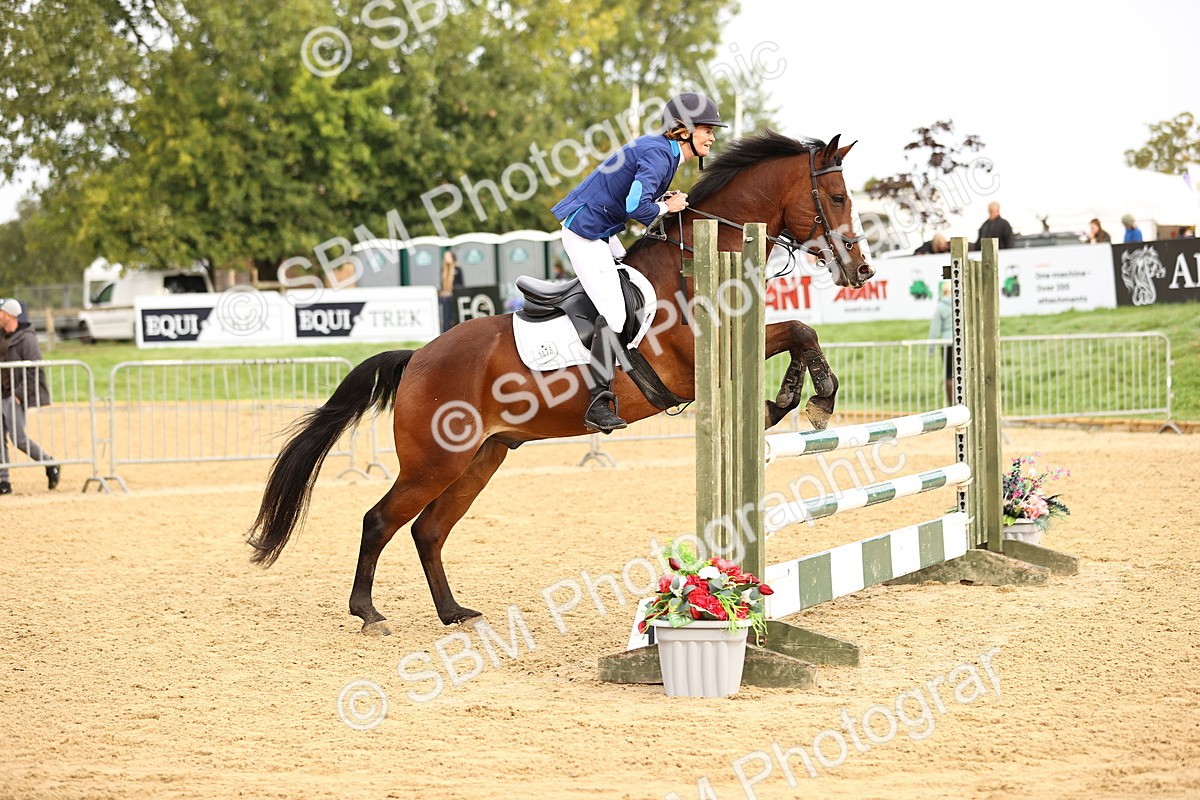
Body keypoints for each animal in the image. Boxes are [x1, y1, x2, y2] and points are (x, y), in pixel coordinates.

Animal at [248, 130, 875, 634]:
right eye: (837, 198)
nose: (861, 270)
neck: (696, 264)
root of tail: (419, 357)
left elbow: (800, 332)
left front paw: (796, 399)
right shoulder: (695, 361)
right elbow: (797, 329)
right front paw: (809, 401)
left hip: (481, 458)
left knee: (429, 531)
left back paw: (453, 612)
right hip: (433, 463)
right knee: (380, 521)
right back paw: (367, 612)